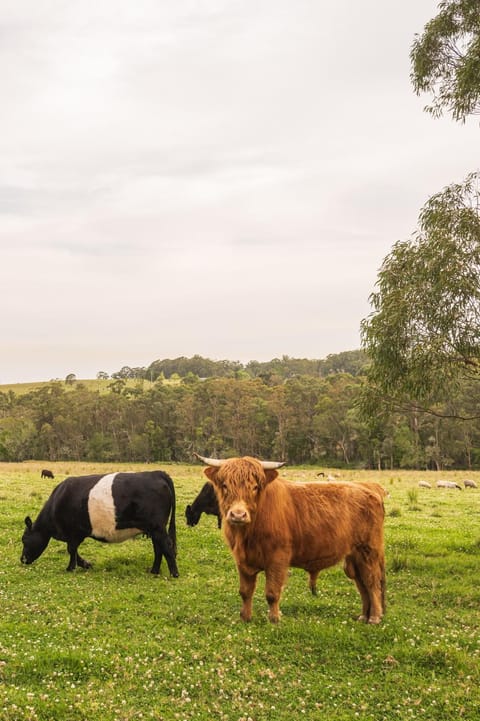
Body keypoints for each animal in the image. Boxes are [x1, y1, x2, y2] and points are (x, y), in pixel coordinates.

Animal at [19, 470, 179, 576]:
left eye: (24, 540)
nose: (22, 559)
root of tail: (156, 473)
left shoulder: (74, 532)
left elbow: (71, 550)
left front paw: (71, 568)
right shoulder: (75, 534)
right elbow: (75, 551)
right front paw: (86, 564)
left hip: (157, 527)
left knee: (166, 545)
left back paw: (174, 573)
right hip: (154, 529)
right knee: (158, 548)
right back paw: (154, 571)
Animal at [195, 456, 386, 624]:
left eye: (255, 487)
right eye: (225, 486)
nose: (238, 514)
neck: (247, 535)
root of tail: (369, 488)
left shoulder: (277, 559)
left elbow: (272, 593)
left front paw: (274, 619)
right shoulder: (242, 561)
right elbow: (245, 592)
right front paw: (245, 617)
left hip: (368, 551)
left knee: (372, 582)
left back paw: (375, 618)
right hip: (354, 557)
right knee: (361, 583)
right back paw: (364, 616)